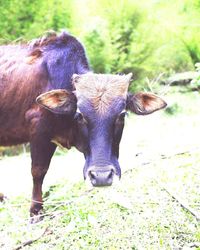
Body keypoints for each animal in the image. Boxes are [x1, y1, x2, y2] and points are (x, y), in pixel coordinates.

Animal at [0, 30, 166, 219]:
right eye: (79, 115)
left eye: (122, 115)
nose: (101, 176)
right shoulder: (39, 133)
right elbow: (38, 171)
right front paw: (36, 210)